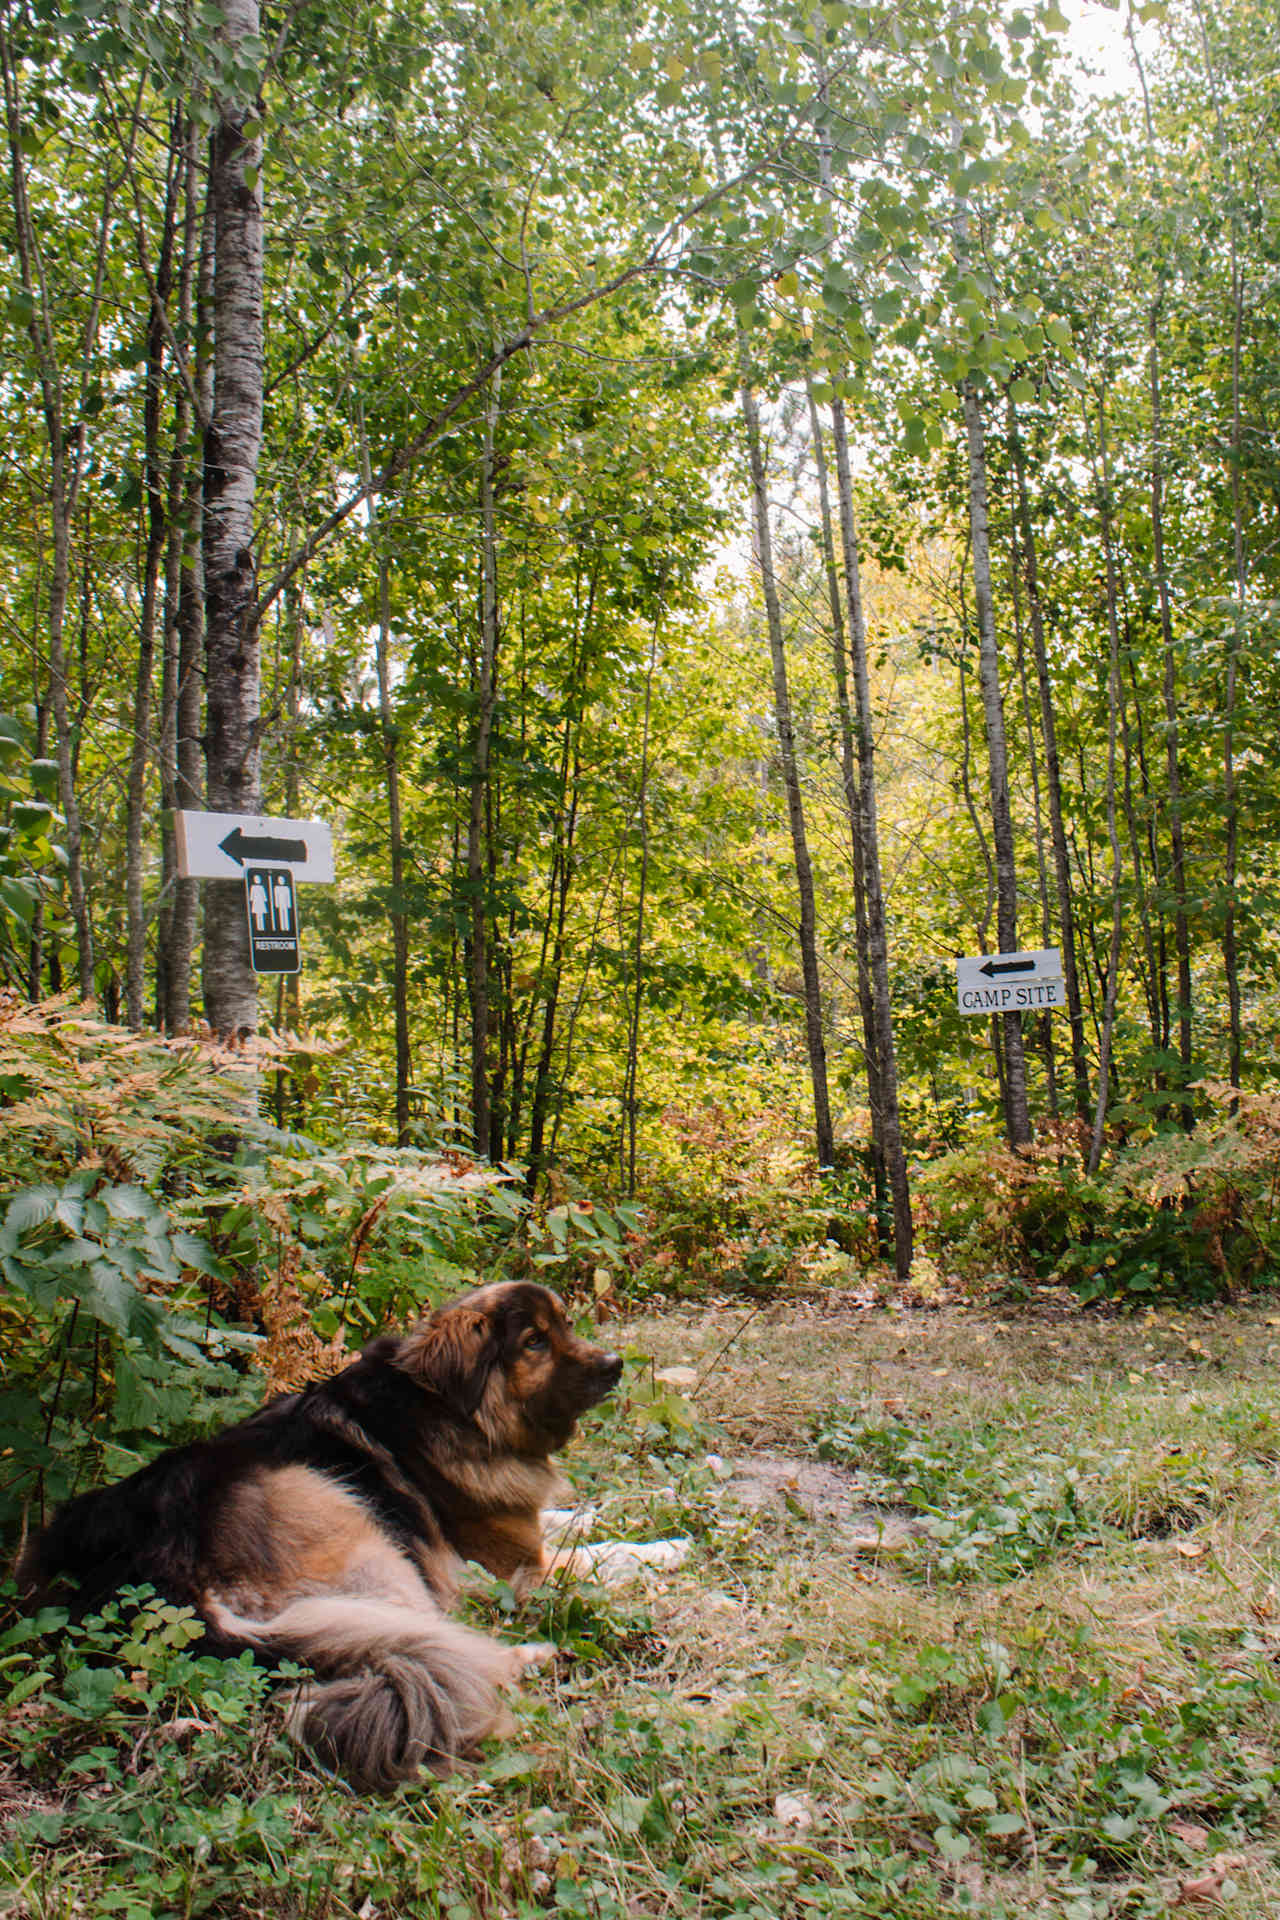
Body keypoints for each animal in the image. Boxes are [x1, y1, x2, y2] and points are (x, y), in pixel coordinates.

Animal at [17, 1282, 621, 1789]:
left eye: (566, 1324)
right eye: (535, 1341)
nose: (616, 1364)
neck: (456, 1408)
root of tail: (164, 1568)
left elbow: (571, 1520)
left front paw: (614, 1510)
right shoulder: (516, 1563)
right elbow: (604, 1557)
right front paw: (639, 1549)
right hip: (353, 1525)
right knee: (441, 1639)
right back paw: (531, 1655)